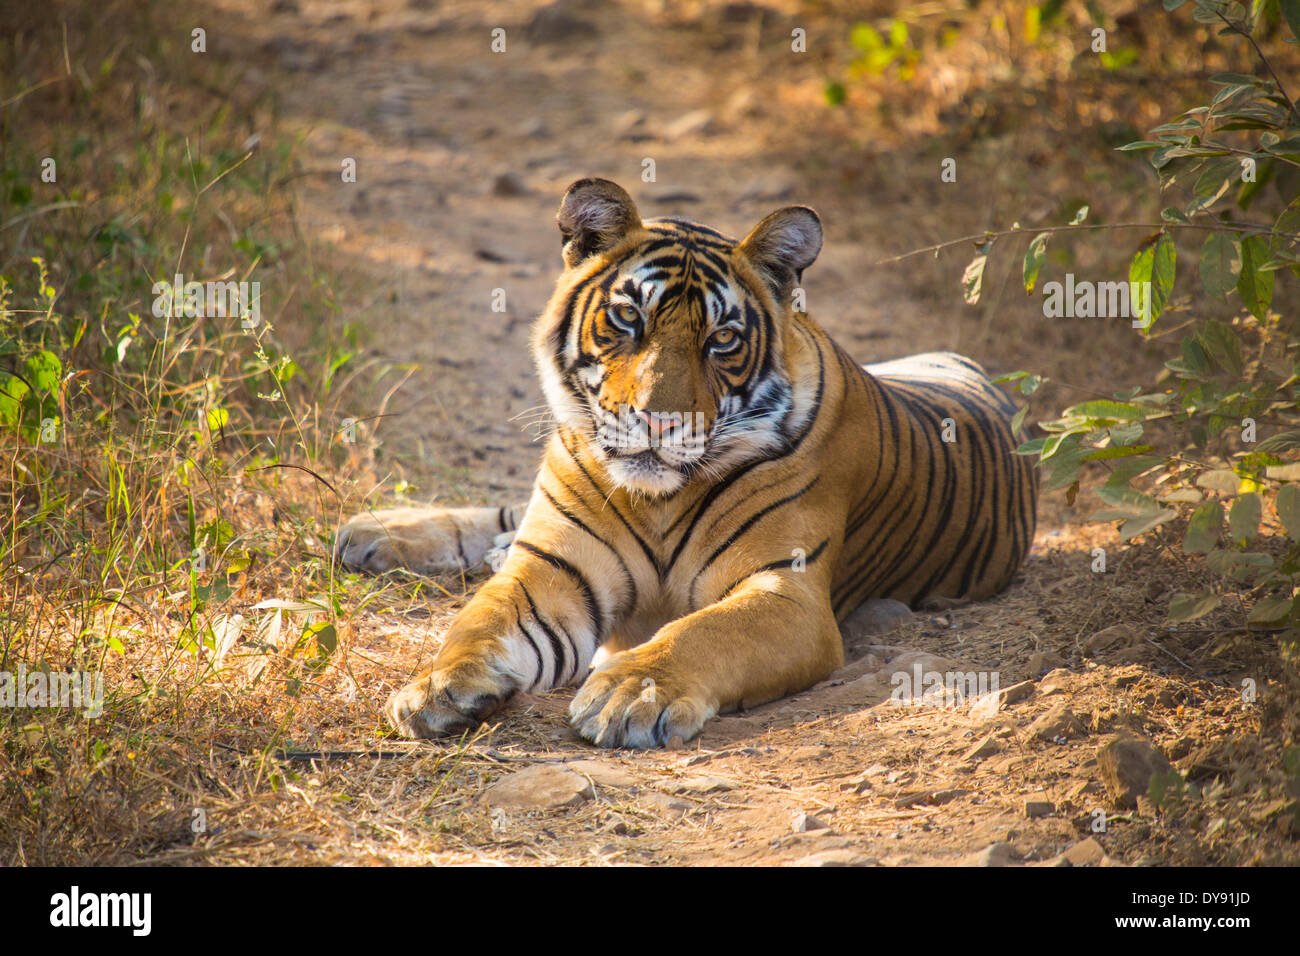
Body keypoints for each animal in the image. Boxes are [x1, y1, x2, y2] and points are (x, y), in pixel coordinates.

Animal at [335, 178, 1034, 749]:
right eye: (628, 316)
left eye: (721, 339)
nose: (659, 420)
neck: (657, 500)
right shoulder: (552, 569)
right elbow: (476, 623)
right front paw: (434, 686)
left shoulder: (786, 590)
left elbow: (704, 632)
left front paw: (631, 692)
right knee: (504, 517)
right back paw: (372, 531)